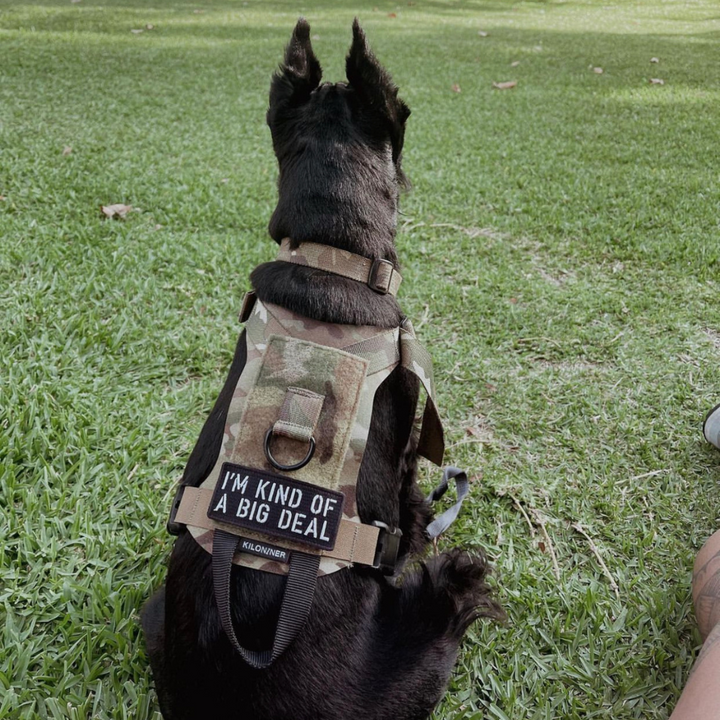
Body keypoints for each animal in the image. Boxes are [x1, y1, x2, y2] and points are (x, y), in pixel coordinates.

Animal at [141, 19, 502, 720]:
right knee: (456, 583)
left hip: (152, 615)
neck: (329, 256)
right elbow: (411, 499)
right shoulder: (402, 452)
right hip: (430, 624)